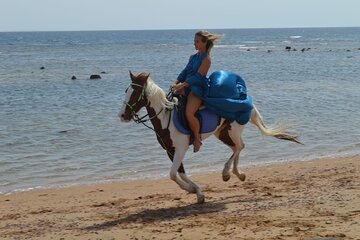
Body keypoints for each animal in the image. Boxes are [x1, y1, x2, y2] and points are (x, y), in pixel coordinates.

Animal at [119, 71, 300, 202]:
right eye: (126, 91)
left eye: (135, 93)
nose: (122, 115)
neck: (165, 119)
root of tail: (247, 102)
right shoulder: (170, 150)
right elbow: (179, 173)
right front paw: (195, 191)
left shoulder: (181, 149)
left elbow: (172, 174)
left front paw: (196, 192)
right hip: (222, 133)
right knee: (237, 147)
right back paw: (238, 174)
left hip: (232, 130)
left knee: (240, 146)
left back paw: (227, 173)